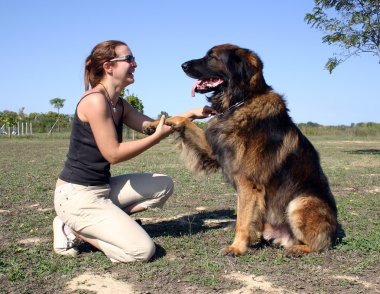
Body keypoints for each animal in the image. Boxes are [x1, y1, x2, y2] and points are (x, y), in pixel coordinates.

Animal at [143, 44, 338, 258]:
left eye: (211, 57)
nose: (183, 65)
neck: (241, 101)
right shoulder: (213, 150)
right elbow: (183, 119)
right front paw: (154, 124)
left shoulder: (248, 184)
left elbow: (242, 221)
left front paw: (237, 247)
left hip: (300, 202)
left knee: (319, 245)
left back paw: (296, 248)